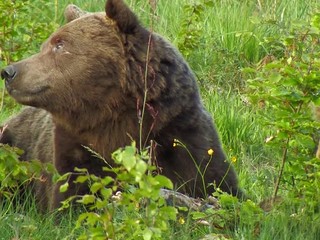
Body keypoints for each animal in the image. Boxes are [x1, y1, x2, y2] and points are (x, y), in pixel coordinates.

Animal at [0, 0, 240, 211]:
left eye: (59, 44)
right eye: (46, 45)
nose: (9, 72)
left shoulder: (185, 138)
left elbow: (218, 186)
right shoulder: (73, 149)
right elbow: (72, 200)